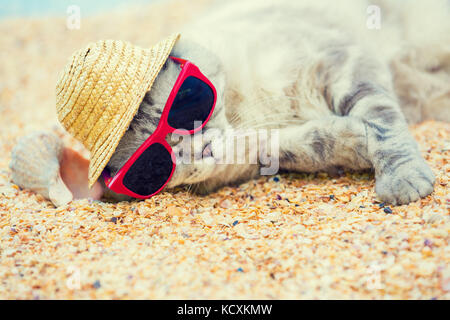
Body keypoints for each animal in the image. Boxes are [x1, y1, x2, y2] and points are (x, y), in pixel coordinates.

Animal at [12, 0, 450, 205]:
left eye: (183, 108)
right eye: (154, 165)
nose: (197, 150)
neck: (247, 112)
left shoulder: (341, 63)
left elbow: (382, 125)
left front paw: (400, 180)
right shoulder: (261, 153)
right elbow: (312, 145)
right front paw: (351, 145)